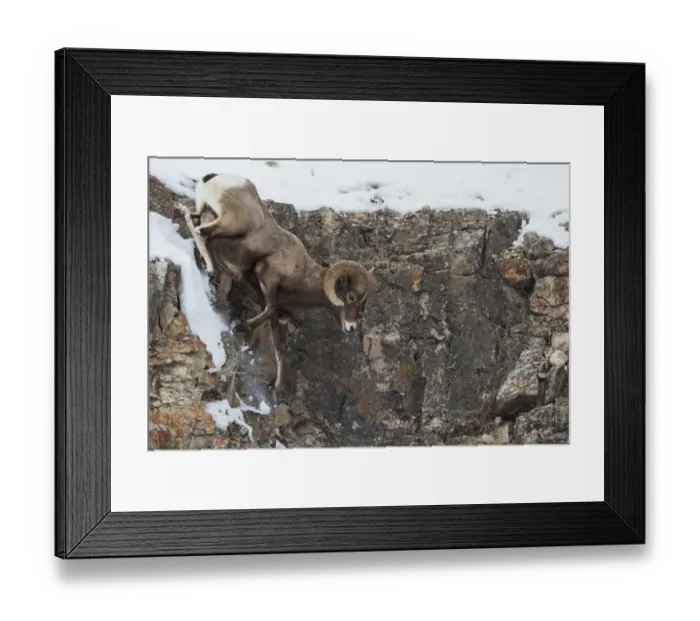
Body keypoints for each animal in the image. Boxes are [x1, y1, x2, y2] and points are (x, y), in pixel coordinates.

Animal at [178, 173, 378, 396]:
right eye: (351, 297)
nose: (351, 328)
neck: (303, 278)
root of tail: (215, 178)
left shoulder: (277, 320)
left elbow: (280, 350)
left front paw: (276, 388)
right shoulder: (267, 277)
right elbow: (270, 306)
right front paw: (241, 326)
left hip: (206, 213)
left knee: (193, 219)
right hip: (231, 223)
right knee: (202, 232)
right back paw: (212, 270)